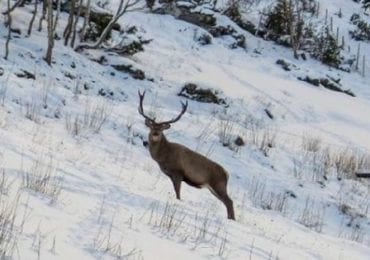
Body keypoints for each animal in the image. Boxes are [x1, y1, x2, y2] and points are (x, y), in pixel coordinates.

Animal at [137, 90, 236, 220]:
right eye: (152, 127)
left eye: (162, 129)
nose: (156, 133)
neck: (163, 156)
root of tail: (227, 174)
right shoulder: (171, 175)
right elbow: (175, 190)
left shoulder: (178, 172)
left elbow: (178, 192)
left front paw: (178, 201)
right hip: (214, 188)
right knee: (227, 202)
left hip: (218, 184)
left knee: (229, 201)